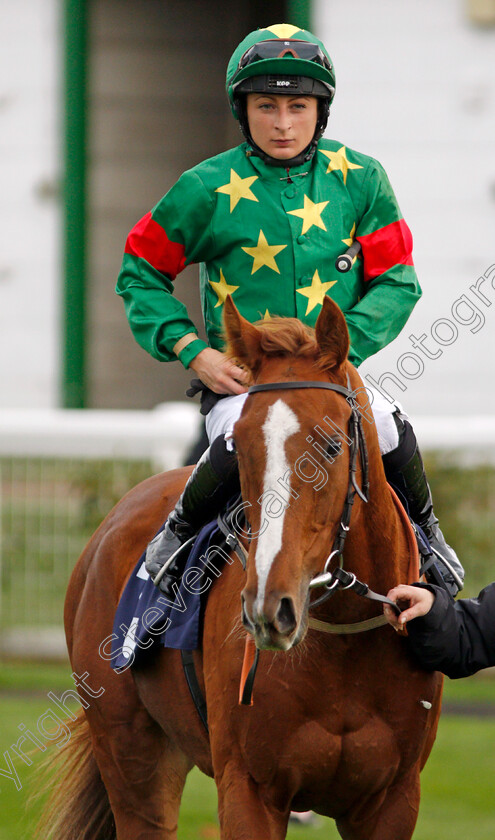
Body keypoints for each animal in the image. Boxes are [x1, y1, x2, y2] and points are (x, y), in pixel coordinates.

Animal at [37, 296, 442, 840]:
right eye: (239, 447)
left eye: (332, 445)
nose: (271, 607)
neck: (345, 645)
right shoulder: (249, 790)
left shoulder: (393, 799)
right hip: (130, 754)